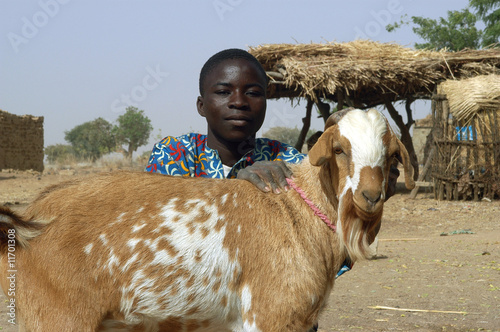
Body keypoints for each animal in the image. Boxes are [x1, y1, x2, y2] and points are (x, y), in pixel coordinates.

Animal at [0, 109, 414, 332]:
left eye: (391, 154)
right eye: (340, 149)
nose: (370, 196)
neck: (297, 209)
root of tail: (30, 218)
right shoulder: (271, 314)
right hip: (56, 318)